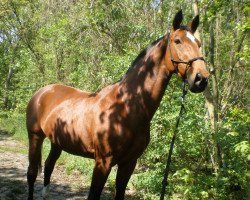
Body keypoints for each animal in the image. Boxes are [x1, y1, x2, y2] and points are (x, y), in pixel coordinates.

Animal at [26, 10, 209, 199]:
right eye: (177, 41)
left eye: (198, 43)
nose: (201, 79)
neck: (126, 107)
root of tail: (43, 92)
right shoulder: (103, 162)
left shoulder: (129, 163)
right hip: (35, 137)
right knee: (32, 173)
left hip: (57, 142)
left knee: (48, 166)